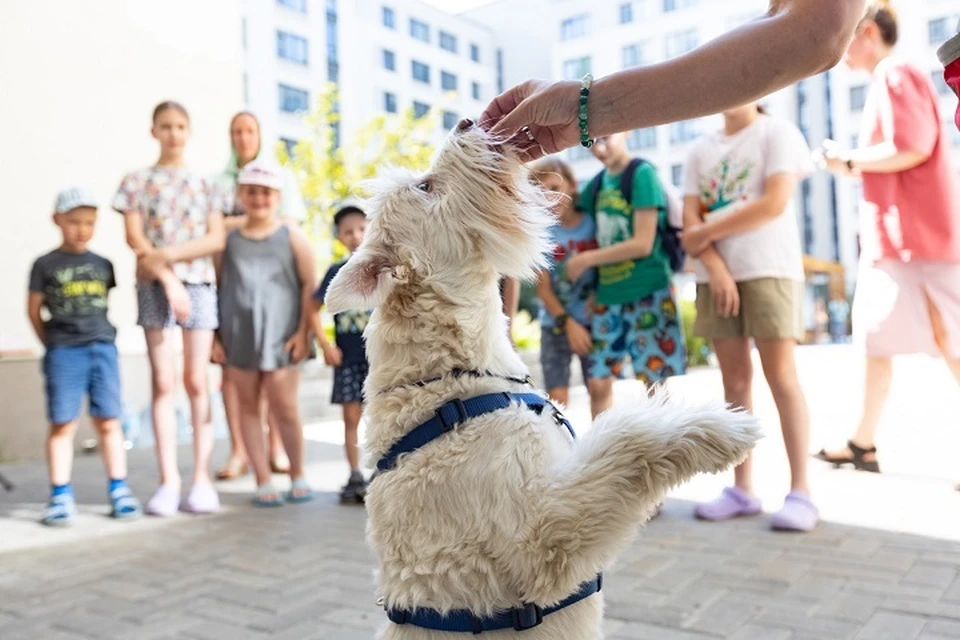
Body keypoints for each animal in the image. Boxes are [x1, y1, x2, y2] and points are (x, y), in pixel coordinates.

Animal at [326, 117, 760, 636]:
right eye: (425, 187)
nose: (467, 122)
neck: (446, 376)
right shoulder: (541, 534)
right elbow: (624, 436)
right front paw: (719, 430)